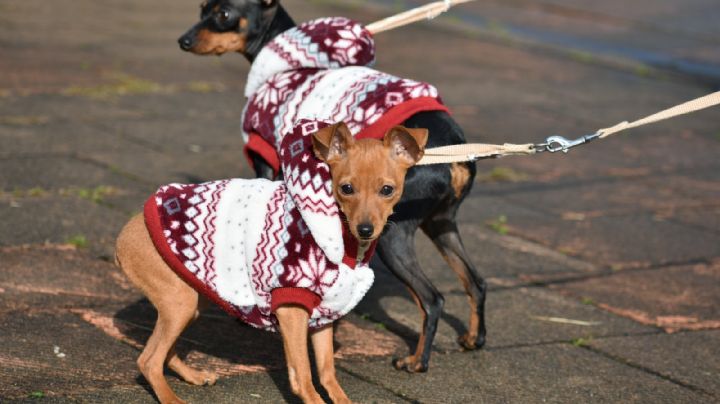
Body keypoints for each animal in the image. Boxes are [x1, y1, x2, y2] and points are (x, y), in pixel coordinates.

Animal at [114, 122, 424, 404]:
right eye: (346, 188)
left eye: (387, 190)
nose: (366, 229)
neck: (346, 242)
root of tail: (123, 235)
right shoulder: (292, 306)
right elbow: (304, 376)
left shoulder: (325, 312)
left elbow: (327, 372)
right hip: (180, 303)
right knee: (149, 360)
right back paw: (172, 398)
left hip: (193, 300)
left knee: (165, 353)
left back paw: (194, 375)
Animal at [177, 0, 486, 372]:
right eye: (202, 9)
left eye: (223, 15)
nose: (184, 41)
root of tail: (455, 152)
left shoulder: (267, 161)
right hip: (440, 224)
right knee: (476, 282)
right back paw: (473, 339)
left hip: (391, 233)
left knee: (432, 298)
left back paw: (416, 362)